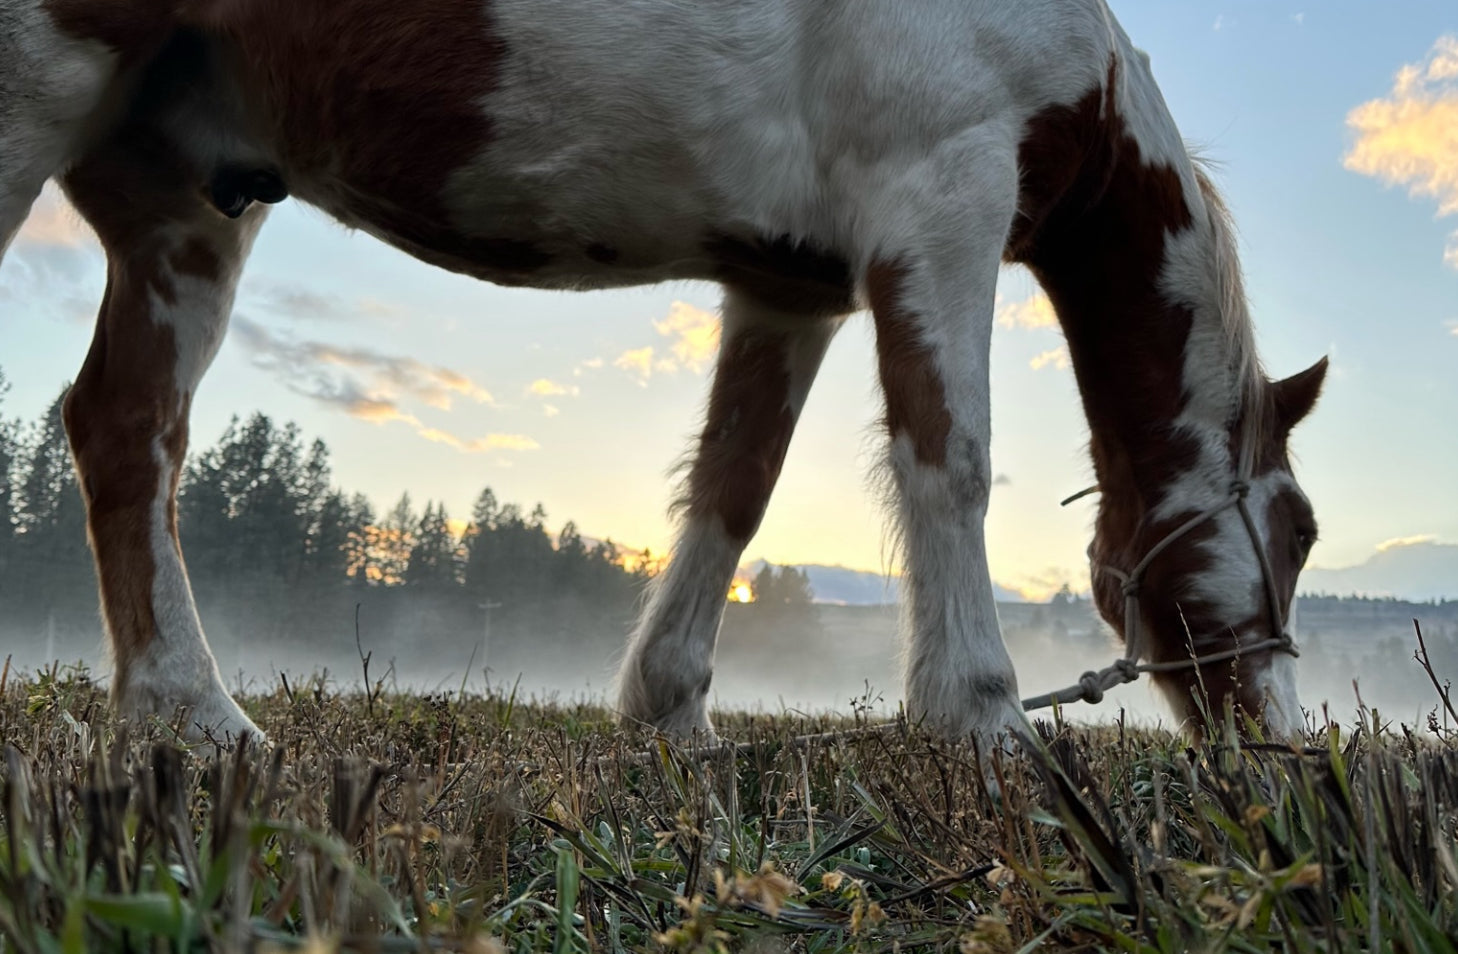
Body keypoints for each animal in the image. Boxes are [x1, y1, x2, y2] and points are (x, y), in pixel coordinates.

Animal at [1, 0, 1326, 747]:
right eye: (1302, 530)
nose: (1281, 745)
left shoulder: (791, 285)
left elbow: (736, 486)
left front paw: (673, 707)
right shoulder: (942, 198)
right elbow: (948, 454)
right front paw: (984, 716)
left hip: (179, 201)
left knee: (127, 430)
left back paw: (188, 715)